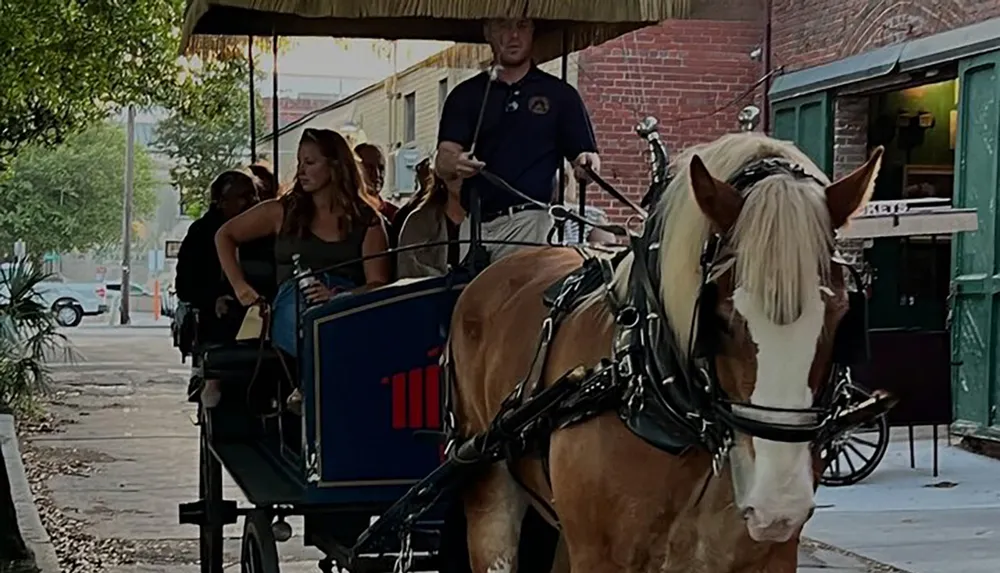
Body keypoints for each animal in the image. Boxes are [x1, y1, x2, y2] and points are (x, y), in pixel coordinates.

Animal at [446, 130, 884, 572]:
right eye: (718, 319)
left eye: (841, 316)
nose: (779, 500)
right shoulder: (602, 557)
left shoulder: (769, 557)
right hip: (489, 488)